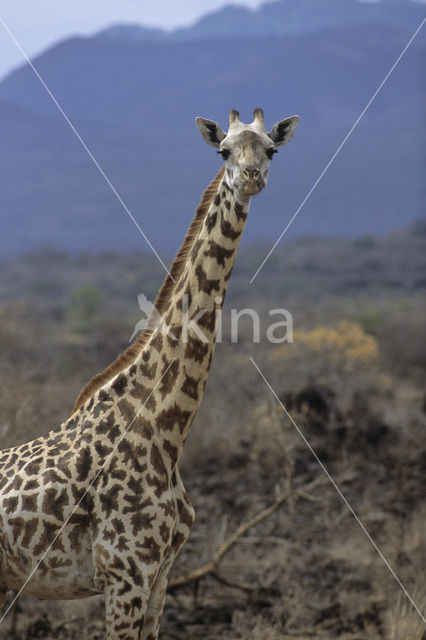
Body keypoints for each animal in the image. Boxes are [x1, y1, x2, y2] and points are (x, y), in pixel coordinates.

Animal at [0, 107, 298, 636]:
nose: (250, 177)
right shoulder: (125, 575)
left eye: (271, 150)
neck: (165, 428)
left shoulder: (160, 577)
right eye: (223, 151)